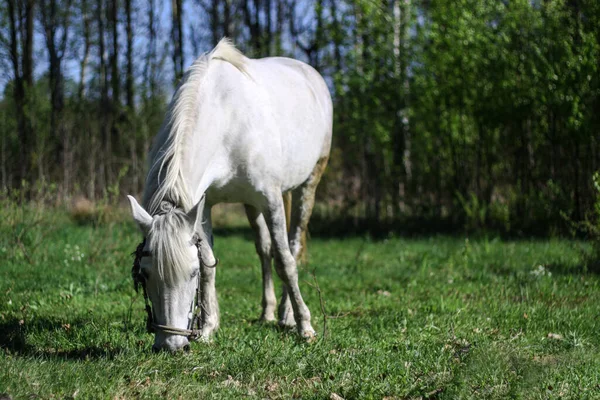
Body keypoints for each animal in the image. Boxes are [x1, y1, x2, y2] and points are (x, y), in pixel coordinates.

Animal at [127, 39, 332, 352]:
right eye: (145, 273)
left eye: (191, 273)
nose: (172, 345)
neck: (226, 121)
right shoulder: (204, 205)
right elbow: (211, 262)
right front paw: (208, 328)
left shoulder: (271, 199)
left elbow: (286, 262)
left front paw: (305, 326)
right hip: (250, 204)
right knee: (264, 250)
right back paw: (268, 312)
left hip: (307, 185)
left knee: (292, 248)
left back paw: (287, 316)